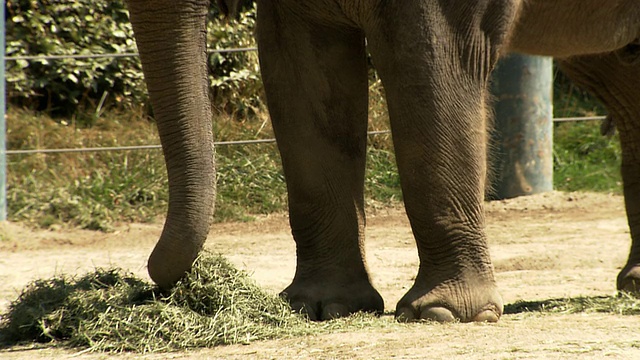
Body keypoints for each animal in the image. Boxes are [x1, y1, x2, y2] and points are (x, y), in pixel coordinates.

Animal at [125, 0, 640, 322]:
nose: (154, 285)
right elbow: (300, 65)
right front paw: (317, 309)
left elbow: (430, 60)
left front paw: (442, 315)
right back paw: (635, 284)